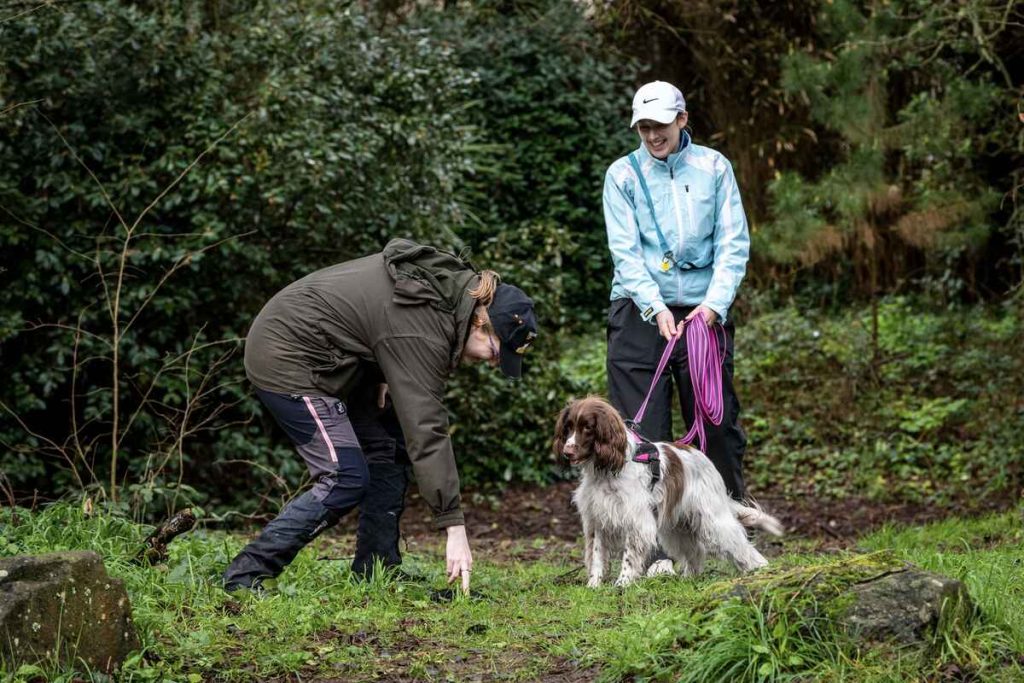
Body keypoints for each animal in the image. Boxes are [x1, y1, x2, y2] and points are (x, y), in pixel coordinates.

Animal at [552, 395, 782, 589]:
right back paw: (689, 577)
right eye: (569, 427)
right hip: (679, 525)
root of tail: (701, 455)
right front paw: (594, 586)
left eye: (588, 427)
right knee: (696, 551)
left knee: (741, 545)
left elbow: (629, 557)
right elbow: (598, 556)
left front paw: (623, 583)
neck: (606, 471)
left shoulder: (636, 519)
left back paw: (759, 570)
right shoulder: (598, 518)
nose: (567, 451)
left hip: (713, 519)